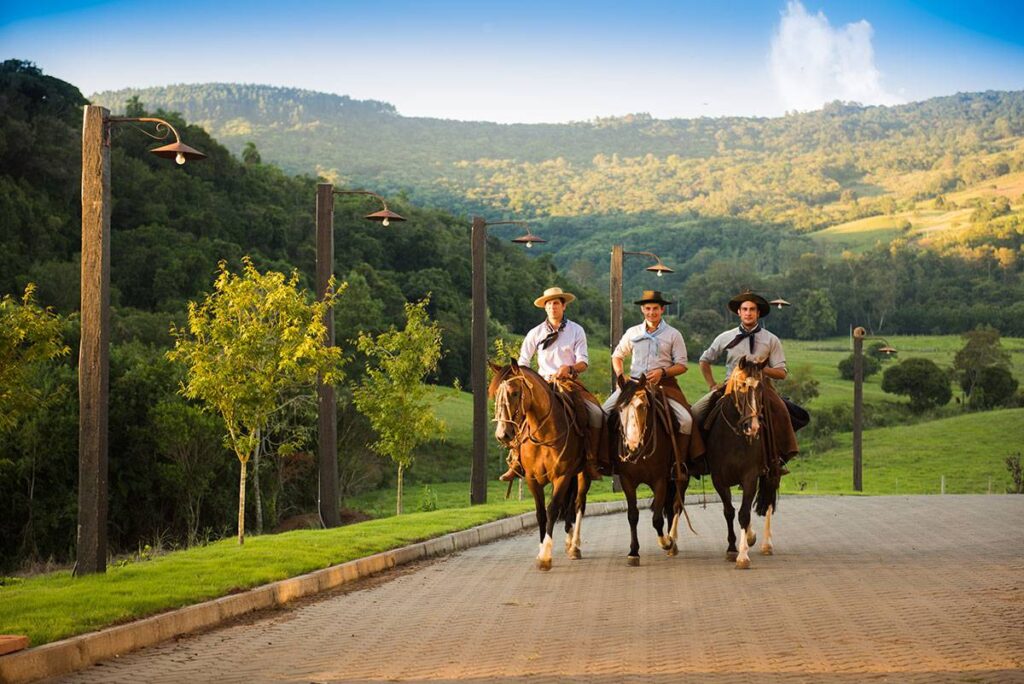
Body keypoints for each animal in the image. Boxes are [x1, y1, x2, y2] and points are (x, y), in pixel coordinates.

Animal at [489, 360, 593, 569]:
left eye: (514, 393)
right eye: (497, 394)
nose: (502, 434)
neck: (544, 434)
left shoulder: (562, 476)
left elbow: (552, 509)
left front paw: (545, 555)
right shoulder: (532, 479)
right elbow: (540, 514)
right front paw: (541, 550)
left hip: (582, 474)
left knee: (578, 504)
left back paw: (575, 546)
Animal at [606, 374, 688, 565]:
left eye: (643, 406)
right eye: (620, 409)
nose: (632, 444)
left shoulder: (660, 480)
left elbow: (657, 519)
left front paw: (666, 542)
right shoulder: (627, 481)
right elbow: (632, 515)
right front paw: (633, 552)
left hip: (679, 478)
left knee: (676, 506)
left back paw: (672, 541)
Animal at [692, 356, 778, 569]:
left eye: (760, 388)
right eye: (741, 387)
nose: (752, 426)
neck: (734, 435)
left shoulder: (750, 476)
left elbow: (744, 513)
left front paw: (743, 556)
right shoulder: (719, 479)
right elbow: (729, 512)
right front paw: (732, 549)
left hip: (772, 472)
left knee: (769, 501)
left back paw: (766, 544)